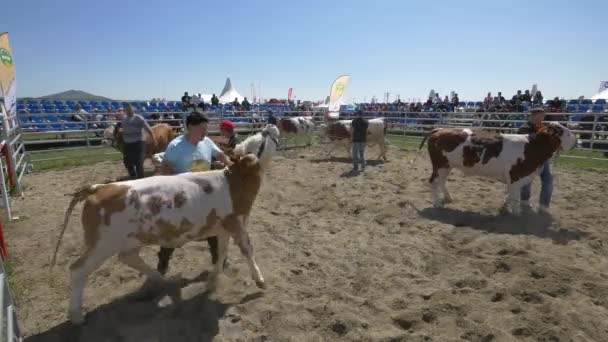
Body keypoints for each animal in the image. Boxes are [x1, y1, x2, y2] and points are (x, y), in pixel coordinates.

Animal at [51, 130, 280, 324]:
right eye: (259, 141)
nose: (269, 127)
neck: (234, 181)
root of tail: (98, 187)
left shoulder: (224, 227)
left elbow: (222, 252)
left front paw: (213, 281)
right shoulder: (238, 222)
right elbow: (247, 249)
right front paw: (260, 280)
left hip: (129, 240)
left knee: (128, 258)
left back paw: (162, 280)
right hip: (102, 244)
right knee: (77, 270)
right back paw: (77, 315)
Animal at [418, 122, 576, 214]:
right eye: (564, 132)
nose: (576, 140)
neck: (532, 147)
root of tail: (439, 129)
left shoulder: (517, 179)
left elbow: (510, 195)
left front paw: (504, 207)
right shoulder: (516, 176)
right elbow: (514, 197)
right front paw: (516, 213)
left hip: (447, 166)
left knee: (441, 181)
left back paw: (447, 198)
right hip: (440, 165)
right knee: (433, 182)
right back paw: (437, 203)